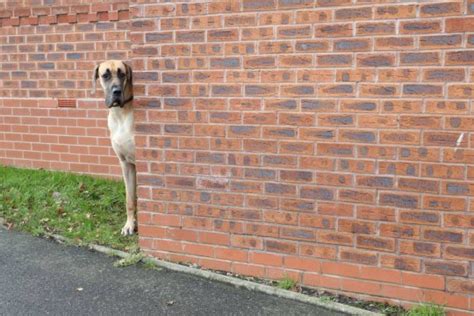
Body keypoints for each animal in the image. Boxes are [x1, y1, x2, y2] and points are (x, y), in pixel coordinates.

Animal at [92, 60, 136, 236]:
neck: (120, 114)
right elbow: (129, 199)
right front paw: (130, 224)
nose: (117, 91)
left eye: (122, 74)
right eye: (105, 75)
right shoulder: (126, 163)